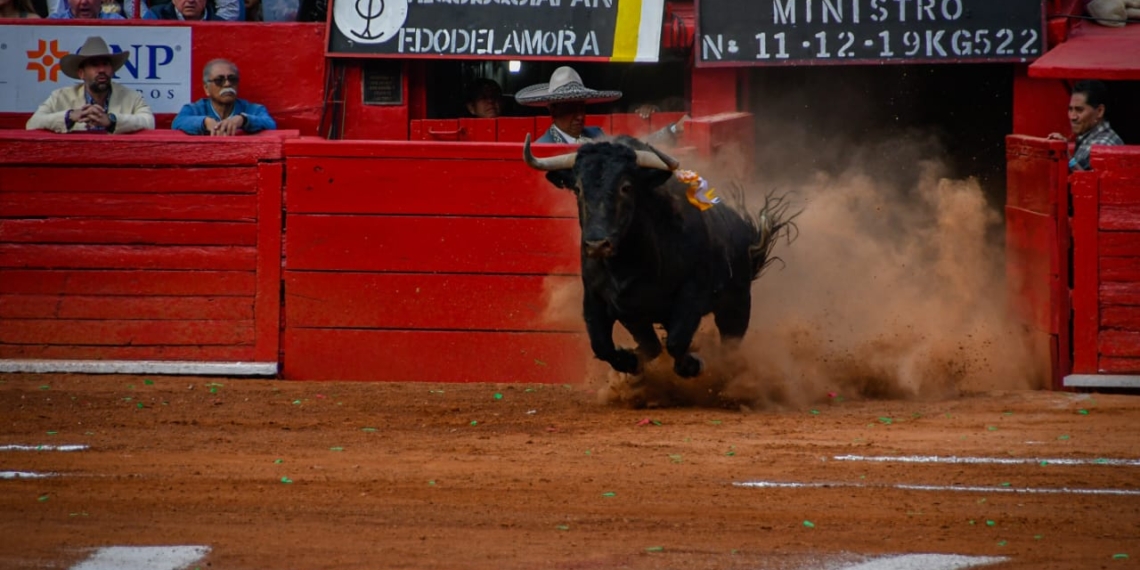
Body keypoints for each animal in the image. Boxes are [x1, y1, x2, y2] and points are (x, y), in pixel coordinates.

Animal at [522, 133, 793, 378]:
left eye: (626, 187)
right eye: (578, 189)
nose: (597, 244)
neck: (629, 261)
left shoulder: (692, 293)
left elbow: (676, 340)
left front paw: (693, 364)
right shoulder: (601, 300)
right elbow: (602, 345)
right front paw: (631, 361)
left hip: (737, 303)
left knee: (730, 344)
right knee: (651, 344)